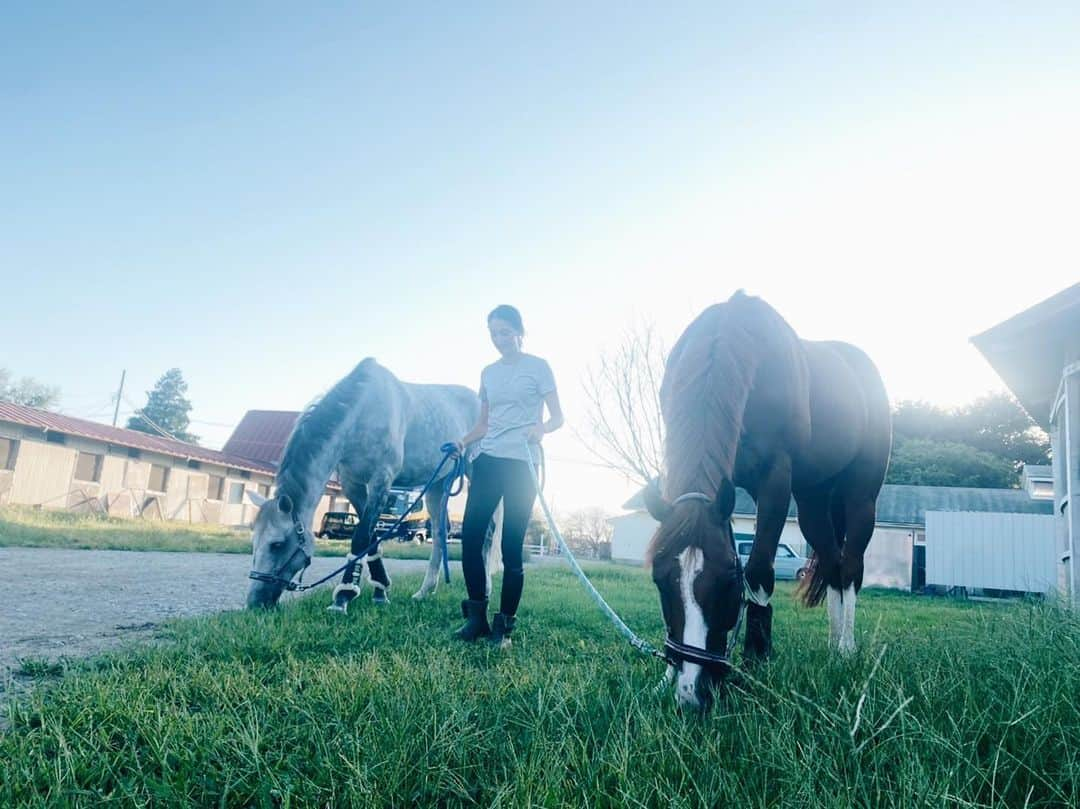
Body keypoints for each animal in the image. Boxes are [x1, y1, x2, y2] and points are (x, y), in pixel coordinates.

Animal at [246, 356, 501, 609]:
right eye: (254, 540)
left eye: (277, 544)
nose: (254, 603)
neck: (362, 412)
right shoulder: (353, 484)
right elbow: (371, 539)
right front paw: (380, 590)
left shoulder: (381, 479)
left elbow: (361, 537)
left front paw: (343, 596)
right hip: (437, 485)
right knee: (440, 533)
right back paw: (424, 591)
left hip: (474, 473)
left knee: (487, 531)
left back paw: (486, 589)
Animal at [643, 289, 889, 708]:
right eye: (660, 580)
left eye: (729, 578)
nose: (692, 692)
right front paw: (666, 676)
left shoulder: (774, 478)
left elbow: (759, 568)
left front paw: (756, 659)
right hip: (811, 502)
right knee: (834, 563)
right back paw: (831, 646)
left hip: (861, 498)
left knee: (851, 567)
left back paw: (845, 650)